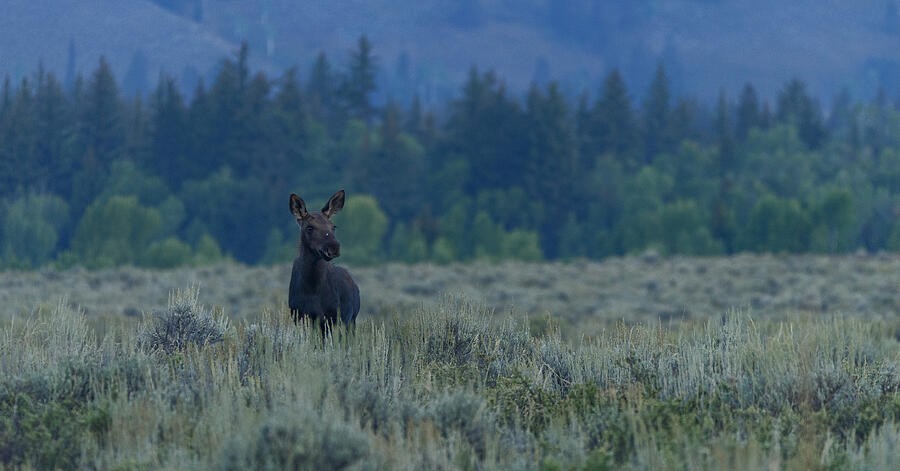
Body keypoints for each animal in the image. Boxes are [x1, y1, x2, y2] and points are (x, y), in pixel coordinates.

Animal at [288, 189, 360, 332]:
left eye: (333, 226)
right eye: (309, 227)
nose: (334, 247)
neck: (312, 287)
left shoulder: (335, 317)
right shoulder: (300, 316)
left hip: (351, 320)